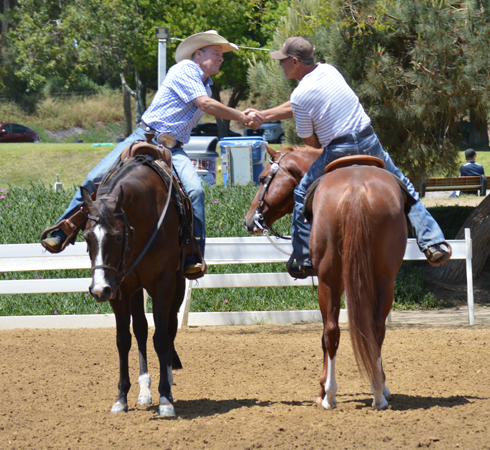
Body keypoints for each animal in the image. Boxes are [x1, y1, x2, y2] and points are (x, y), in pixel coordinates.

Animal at [81, 155, 185, 414]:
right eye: (86, 236)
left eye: (118, 236)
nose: (98, 290)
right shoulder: (119, 290)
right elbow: (123, 340)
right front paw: (121, 397)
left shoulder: (163, 284)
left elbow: (161, 338)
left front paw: (165, 398)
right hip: (134, 289)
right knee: (140, 329)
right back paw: (144, 391)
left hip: (177, 287)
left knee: (170, 327)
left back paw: (166, 384)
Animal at [243, 146, 408, 410]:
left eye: (262, 178)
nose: (249, 220)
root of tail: (356, 188)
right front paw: (382, 384)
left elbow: (324, 336)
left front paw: (321, 388)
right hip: (383, 280)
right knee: (374, 328)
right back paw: (377, 393)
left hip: (330, 279)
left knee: (333, 331)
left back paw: (330, 395)